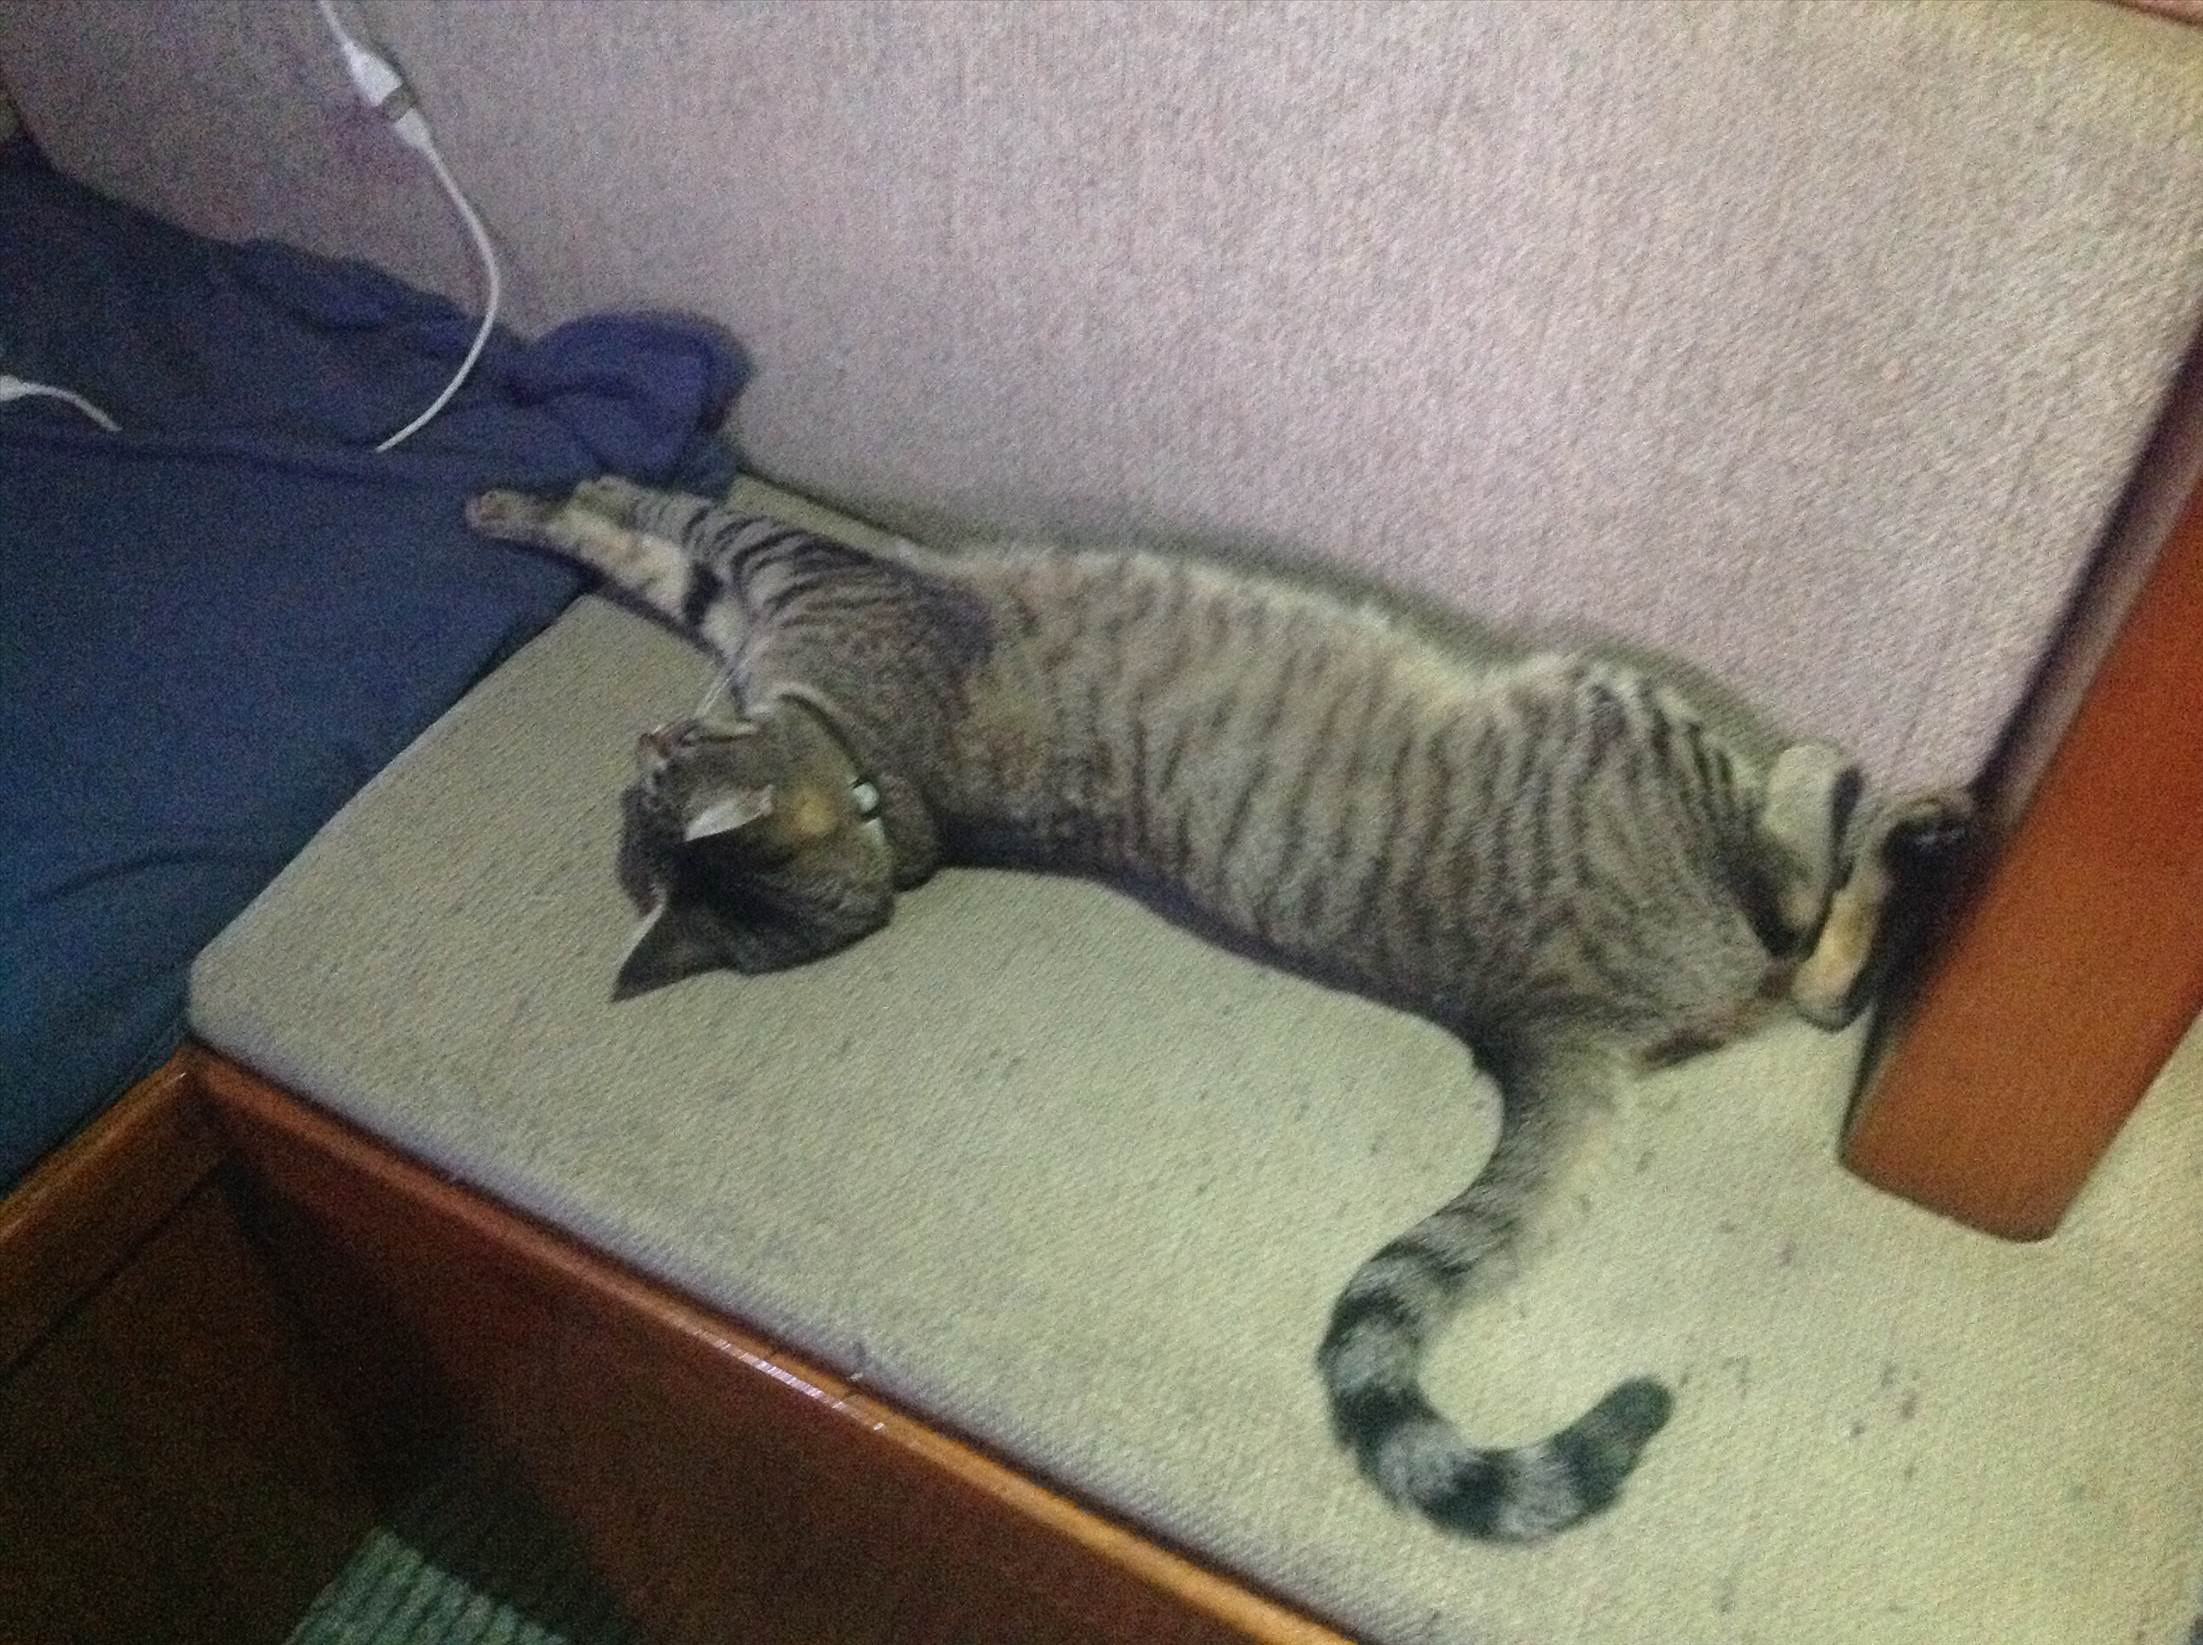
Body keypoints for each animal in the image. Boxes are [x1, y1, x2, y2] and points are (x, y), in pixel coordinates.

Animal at [467, 474, 1971, 1542]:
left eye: (657, 765)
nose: (646, 736)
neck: (889, 801)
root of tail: (1538, 1015)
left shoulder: (777, 599)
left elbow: (663, 549)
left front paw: (526, 501)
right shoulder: (806, 570)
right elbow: (681, 521)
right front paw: (568, 486)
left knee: (1809, 975)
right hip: (1616, 711)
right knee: (1799, 927)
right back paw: (1859, 790)